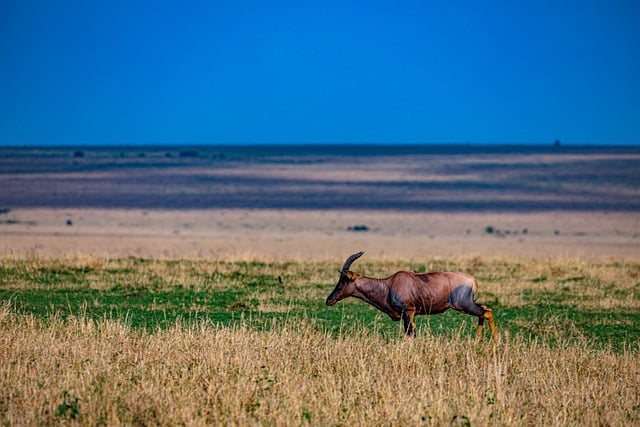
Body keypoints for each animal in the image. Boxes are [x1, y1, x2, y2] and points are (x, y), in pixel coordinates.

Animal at [328, 251, 498, 342]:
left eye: (344, 280)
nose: (329, 300)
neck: (389, 284)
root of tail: (473, 280)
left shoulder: (409, 312)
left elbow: (411, 334)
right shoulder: (408, 314)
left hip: (464, 305)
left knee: (486, 312)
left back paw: (495, 341)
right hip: (470, 303)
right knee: (485, 310)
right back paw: (477, 340)